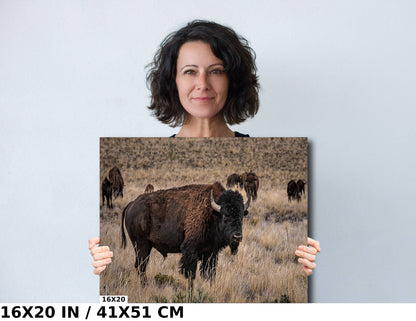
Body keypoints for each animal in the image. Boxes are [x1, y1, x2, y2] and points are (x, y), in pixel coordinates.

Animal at [120, 180, 250, 288]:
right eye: (225, 215)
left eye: (241, 216)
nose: (237, 236)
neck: (211, 212)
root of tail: (131, 204)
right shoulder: (191, 250)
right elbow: (191, 274)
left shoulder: (211, 252)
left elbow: (209, 273)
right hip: (141, 245)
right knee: (141, 266)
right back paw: (145, 286)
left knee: (140, 266)